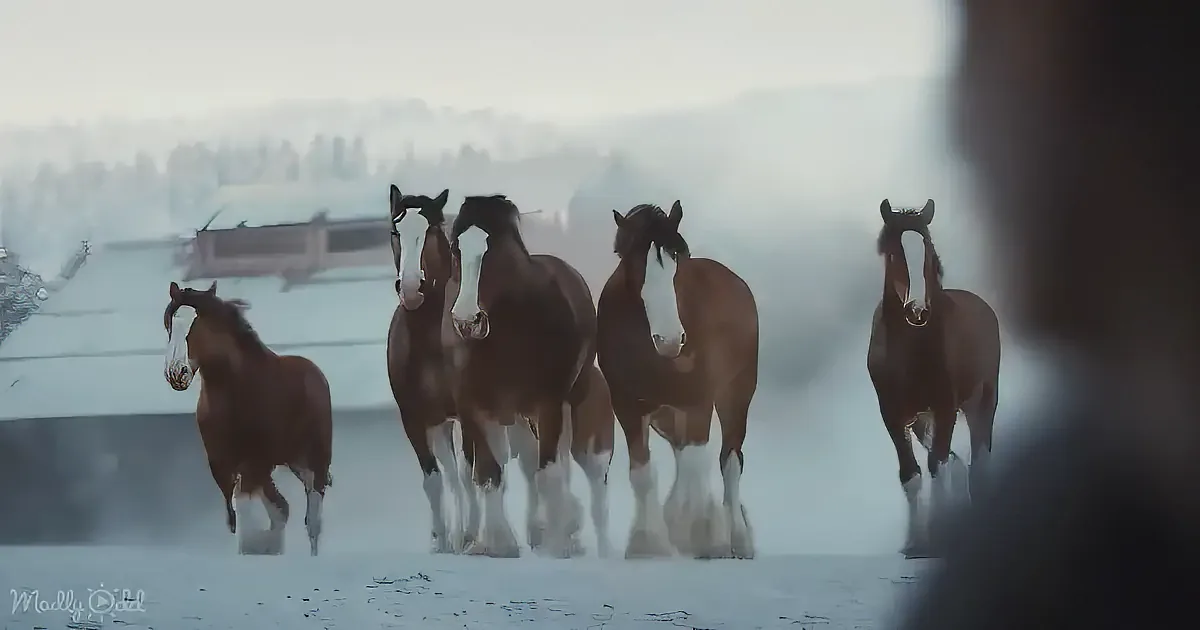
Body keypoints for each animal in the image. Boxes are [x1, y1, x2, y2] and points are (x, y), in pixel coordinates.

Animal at [163, 280, 333, 556]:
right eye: (169, 324)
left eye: (199, 324)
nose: (176, 372)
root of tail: (315, 373)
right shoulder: (222, 465)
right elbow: (242, 519)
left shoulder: (254, 461)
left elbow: (246, 520)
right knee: (281, 510)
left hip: (313, 459)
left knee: (313, 519)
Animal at [386, 185, 478, 554]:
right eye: (395, 231)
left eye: (431, 232)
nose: (412, 288)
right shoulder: (415, 419)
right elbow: (435, 480)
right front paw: (442, 539)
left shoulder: (468, 414)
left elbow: (469, 475)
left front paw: (472, 536)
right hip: (440, 424)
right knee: (451, 475)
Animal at [448, 194, 599, 558]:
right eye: (455, 249)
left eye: (492, 250)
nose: (466, 320)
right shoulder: (473, 406)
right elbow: (489, 474)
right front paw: (498, 544)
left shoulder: (549, 403)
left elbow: (550, 471)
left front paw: (558, 544)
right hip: (515, 414)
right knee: (527, 463)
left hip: (568, 400)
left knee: (558, 462)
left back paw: (562, 527)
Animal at [596, 201, 759, 560]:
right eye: (634, 265)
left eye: (678, 262)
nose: (670, 340)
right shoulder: (628, 407)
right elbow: (643, 473)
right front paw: (647, 545)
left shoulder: (698, 400)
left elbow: (702, 464)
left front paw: (707, 539)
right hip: (668, 414)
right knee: (685, 459)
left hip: (735, 396)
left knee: (729, 462)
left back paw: (736, 539)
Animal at [866, 199, 1001, 559]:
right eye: (893, 252)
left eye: (926, 247)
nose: (918, 310)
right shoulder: (893, 414)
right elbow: (911, 474)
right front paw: (914, 543)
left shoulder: (945, 406)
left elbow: (938, 465)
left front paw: (938, 540)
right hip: (922, 419)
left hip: (982, 401)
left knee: (979, 462)